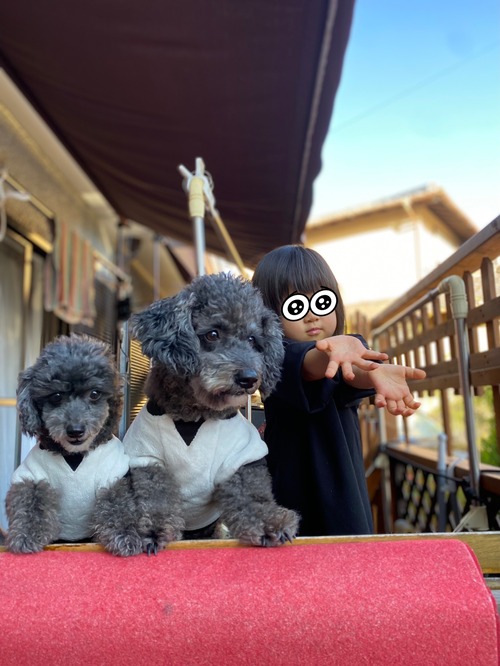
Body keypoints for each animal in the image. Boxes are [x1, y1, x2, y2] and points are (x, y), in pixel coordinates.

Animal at [5, 334, 128, 553]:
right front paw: (25, 535)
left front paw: (126, 535)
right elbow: (29, 501)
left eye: (94, 394)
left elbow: (117, 503)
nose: (75, 430)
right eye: (56, 396)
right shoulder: (32, 475)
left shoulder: (111, 475)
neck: (74, 454)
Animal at [93, 273, 300, 556]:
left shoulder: (241, 457)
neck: (194, 415)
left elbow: (252, 494)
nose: (249, 378)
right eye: (212, 334)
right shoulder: (149, 459)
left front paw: (271, 522)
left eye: (252, 340)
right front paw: (151, 531)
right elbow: (156, 499)